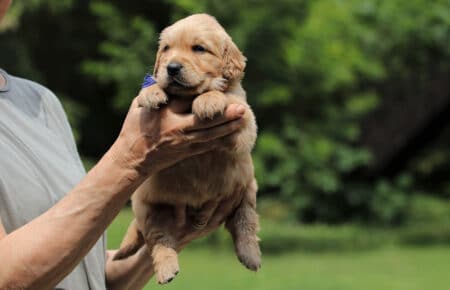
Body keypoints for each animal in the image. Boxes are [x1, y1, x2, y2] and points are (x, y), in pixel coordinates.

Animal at [115, 13, 260, 284]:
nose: (171, 68)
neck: (188, 96)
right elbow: (152, 87)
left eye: (199, 49)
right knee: (159, 240)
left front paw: (210, 100)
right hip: (150, 208)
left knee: (245, 223)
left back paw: (251, 255)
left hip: (246, 189)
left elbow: (226, 96)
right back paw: (166, 269)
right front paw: (151, 92)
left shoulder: (245, 120)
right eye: (166, 49)